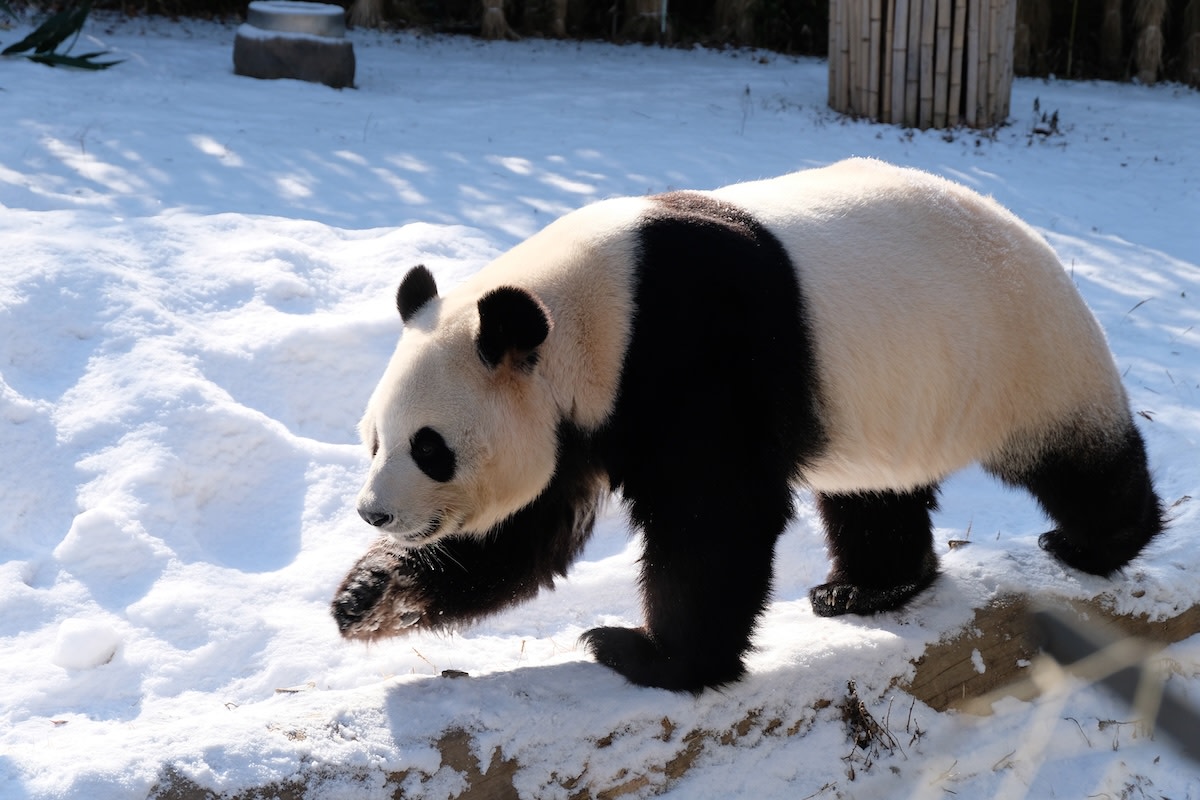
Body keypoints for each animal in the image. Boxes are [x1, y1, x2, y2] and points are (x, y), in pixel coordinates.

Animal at [331, 158, 1162, 693]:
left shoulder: (692, 350)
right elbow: (522, 534)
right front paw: (365, 598)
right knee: (873, 494)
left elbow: (715, 518)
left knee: (1074, 459)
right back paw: (867, 589)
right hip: (888, 398)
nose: (375, 512)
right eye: (373, 439)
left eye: (430, 448)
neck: (591, 309)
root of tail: (1034, 238)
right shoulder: (579, 409)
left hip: (1018, 353)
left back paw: (1098, 541)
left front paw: (648, 657)